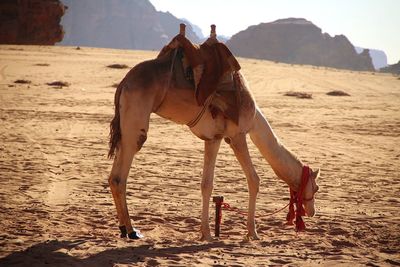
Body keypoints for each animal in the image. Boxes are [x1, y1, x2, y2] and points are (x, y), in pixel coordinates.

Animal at [108, 24, 320, 241]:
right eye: (316, 187)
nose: (312, 212)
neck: (255, 119)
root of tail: (124, 83)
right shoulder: (236, 135)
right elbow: (253, 180)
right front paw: (251, 233)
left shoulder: (212, 138)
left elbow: (206, 184)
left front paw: (206, 233)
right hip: (136, 121)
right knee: (120, 175)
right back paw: (132, 230)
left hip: (125, 126)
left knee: (113, 175)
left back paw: (124, 229)